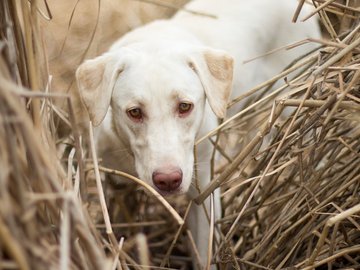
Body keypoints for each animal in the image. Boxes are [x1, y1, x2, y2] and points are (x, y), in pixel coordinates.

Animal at [76, 0, 320, 266]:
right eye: (134, 112)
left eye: (185, 106)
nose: (168, 180)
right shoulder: (112, 183)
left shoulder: (203, 194)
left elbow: (204, 254)